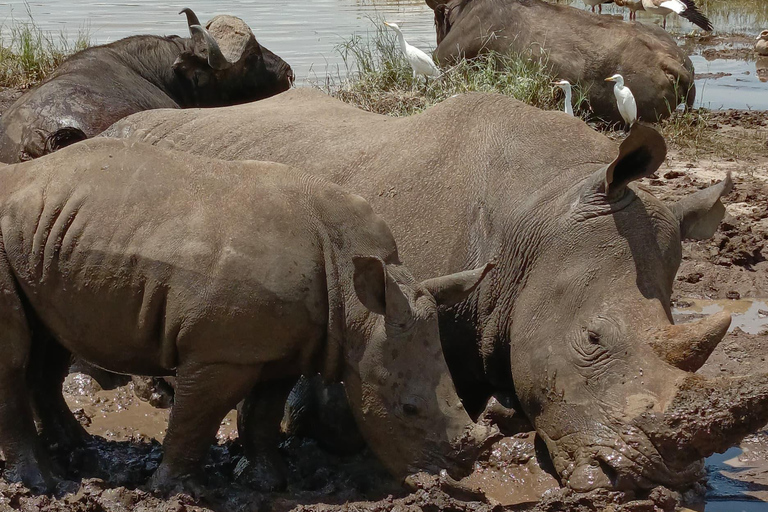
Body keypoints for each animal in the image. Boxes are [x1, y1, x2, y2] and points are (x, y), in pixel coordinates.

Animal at [0, 136, 498, 492]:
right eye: (409, 409)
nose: (452, 478)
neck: (357, 308)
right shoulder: (221, 353)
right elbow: (196, 418)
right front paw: (177, 490)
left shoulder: (290, 345)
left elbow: (262, 413)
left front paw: (267, 482)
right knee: (16, 357)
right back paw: (44, 484)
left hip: (46, 241)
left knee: (50, 342)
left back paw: (79, 450)